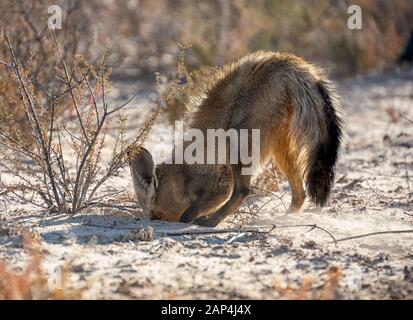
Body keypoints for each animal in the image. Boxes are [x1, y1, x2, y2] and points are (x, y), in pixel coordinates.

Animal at [128, 51, 342, 226]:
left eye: (156, 213)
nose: (152, 219)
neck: (182, 174)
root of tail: (286, 61)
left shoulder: (219, 186)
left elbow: (187, 214)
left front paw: (196, 219)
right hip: (279, 150)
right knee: (300, 193)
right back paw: (285, 217)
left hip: (238, 143)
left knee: (244, 190)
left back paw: (212, 222)